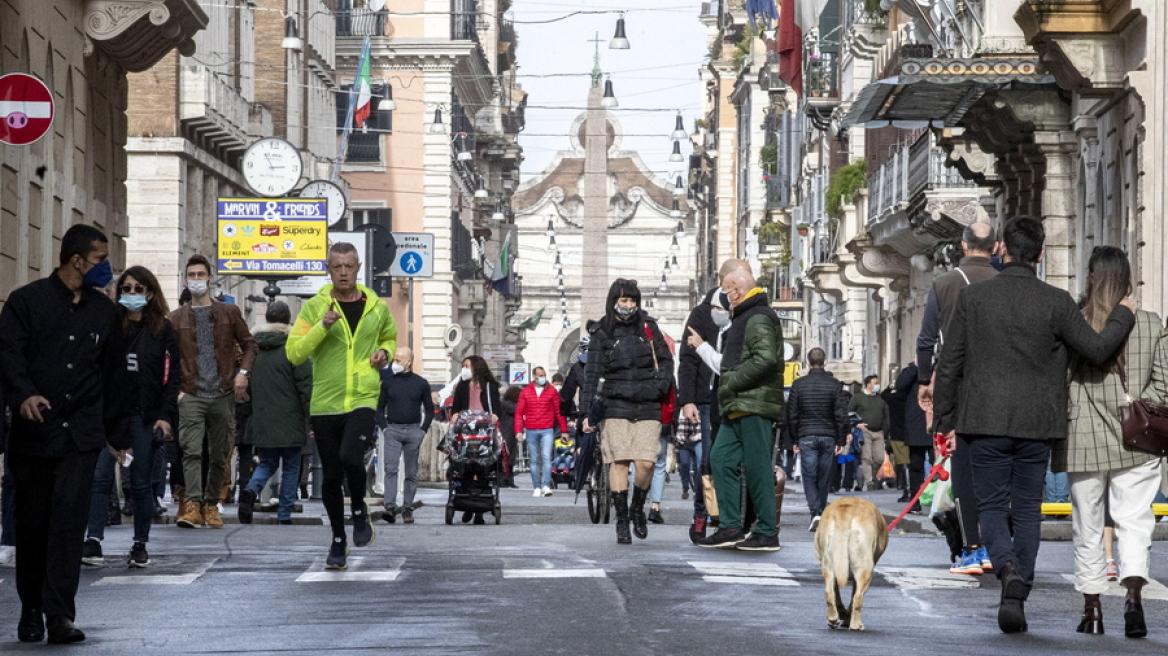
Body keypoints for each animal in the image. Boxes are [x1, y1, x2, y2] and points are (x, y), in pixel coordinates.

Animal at [812, 494, 883, 630]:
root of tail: (845, 513)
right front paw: (846, 617)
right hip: (864, 569)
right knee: (858, 597)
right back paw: (855, 624)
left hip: (829, 566)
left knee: (829, 592)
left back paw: (832, 619)